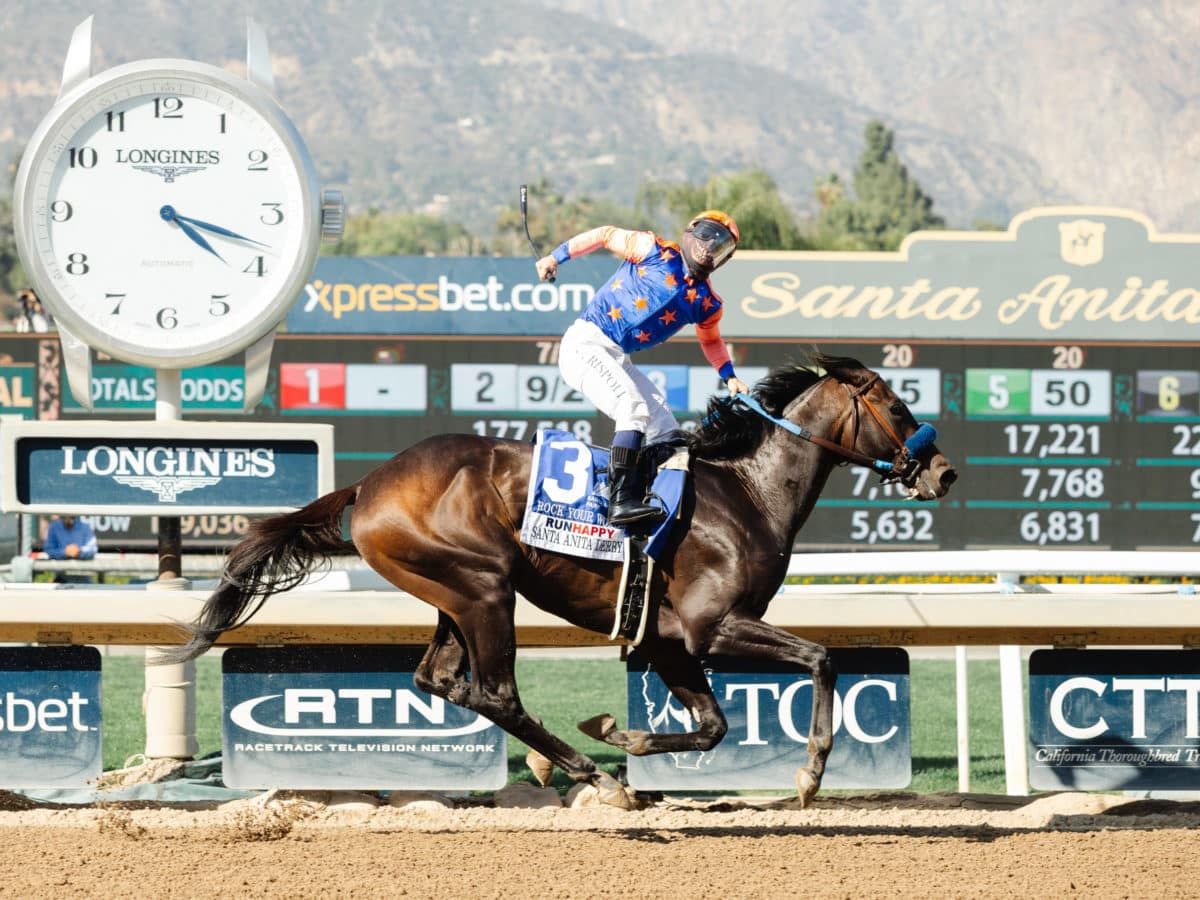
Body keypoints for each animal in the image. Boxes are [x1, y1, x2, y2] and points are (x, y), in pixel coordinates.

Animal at [164, 352, 960, 811]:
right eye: (897, 406)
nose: (945, 471)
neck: (747, 494)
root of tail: (370, 483)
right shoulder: (713, 626)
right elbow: (822, 658)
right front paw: (809, 775)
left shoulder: (669, 642)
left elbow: (712, 727)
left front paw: (620, 733)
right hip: (485, 588)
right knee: (494, 692)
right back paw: (590, 776)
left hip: (454, 593)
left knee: (438, 679)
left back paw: (571, 766)